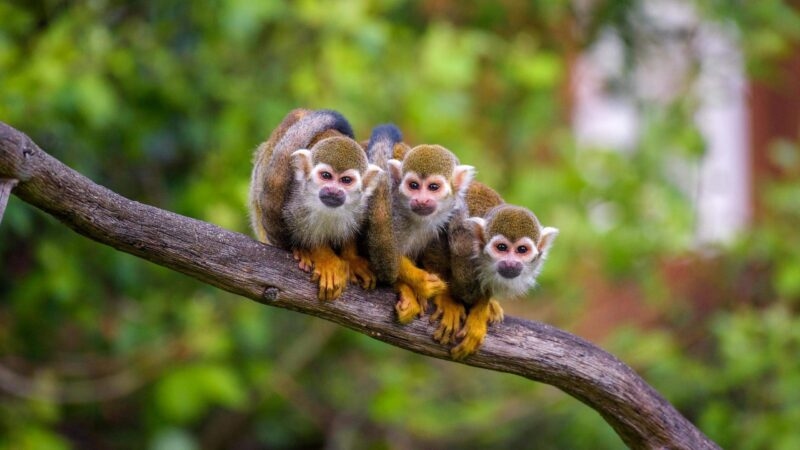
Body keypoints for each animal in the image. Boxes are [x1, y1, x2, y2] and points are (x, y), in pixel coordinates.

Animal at [249, 109, 382, 301]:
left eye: (346, 180)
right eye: (326, 176)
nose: (333, 191)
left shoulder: (363, 204)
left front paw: (351, 258)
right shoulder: (295, 201)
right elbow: (302, 232)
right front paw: (324, 258)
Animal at [423, 182, 558, 359]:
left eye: (522, 250)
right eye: (501, 248)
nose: (510, 263)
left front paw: (481, 310)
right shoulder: (465, 244)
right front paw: (447, 298)